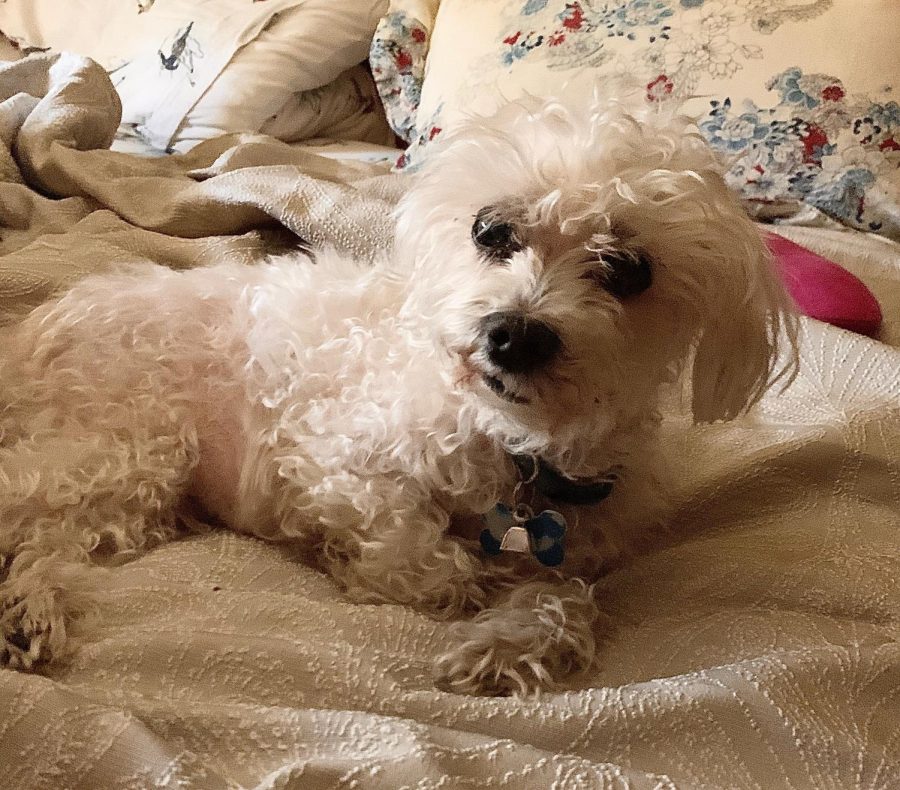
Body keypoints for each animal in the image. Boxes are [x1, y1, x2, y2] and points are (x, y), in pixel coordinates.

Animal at [0, 89, 796, 700]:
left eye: (629, 270)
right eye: (492, 231)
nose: (514, 335)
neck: (515, 448)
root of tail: (30, 334)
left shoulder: (587, 548)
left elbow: (570, 599)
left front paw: (508, 644)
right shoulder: (335, 463)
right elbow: (428, 560)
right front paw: (417, 578)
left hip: (126, 488)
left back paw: (28, 612)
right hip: (131, 450)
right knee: (27, 514)